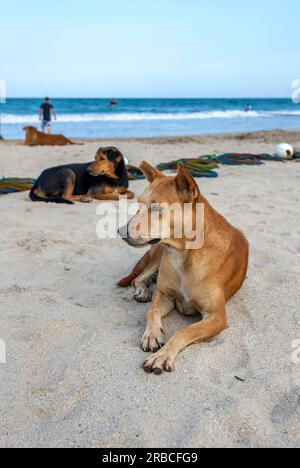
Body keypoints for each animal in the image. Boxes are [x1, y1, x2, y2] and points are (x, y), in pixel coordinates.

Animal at [118, 161, 250, 372]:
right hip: (158, 254)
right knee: (139, 278)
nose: (120, 232)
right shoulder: (164, 295)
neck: (184, 255)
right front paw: (151, 334)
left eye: (157, 208)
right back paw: (142, 291)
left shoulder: (217, 317)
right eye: (139, 205)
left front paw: (163, 355)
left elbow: (185, 330)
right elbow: (152, 310)